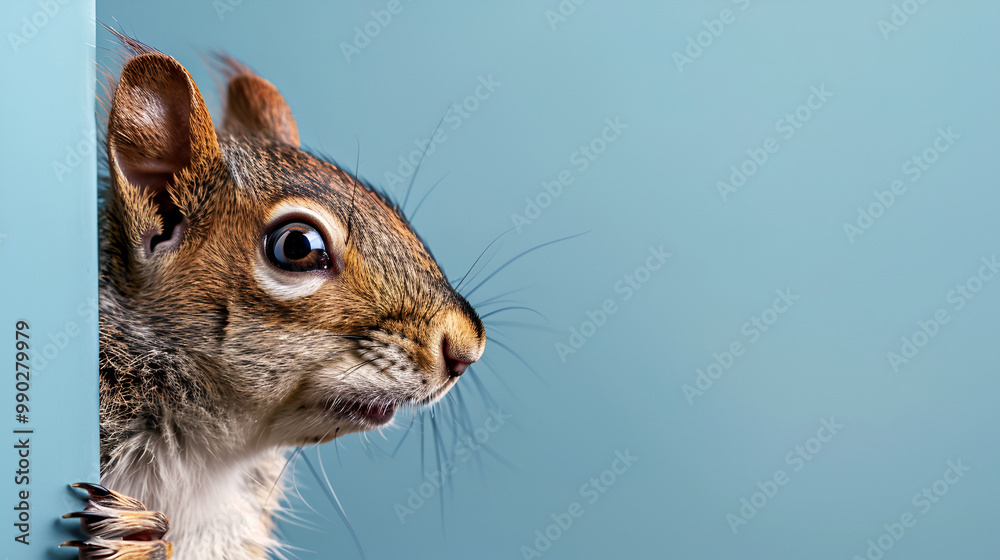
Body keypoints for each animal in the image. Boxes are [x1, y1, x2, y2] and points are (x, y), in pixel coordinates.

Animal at [63, 30, 486, 560]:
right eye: (298, 247)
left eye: (390, 207)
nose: (466, 350)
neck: (202, 459)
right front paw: (128, 534)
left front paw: (135, 539)